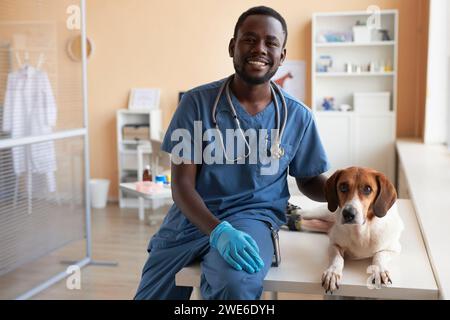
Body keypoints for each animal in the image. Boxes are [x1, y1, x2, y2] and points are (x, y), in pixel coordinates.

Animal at [298, 168, 404, 296]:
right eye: (343, 186)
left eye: (368, 189)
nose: (348, 214)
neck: (360, 231)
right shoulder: (334, 244)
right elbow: (337, 258)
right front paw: (332, 273)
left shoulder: (394, 248)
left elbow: (379, 255)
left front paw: (379, 270)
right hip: (322, 214)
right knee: (302, 214)